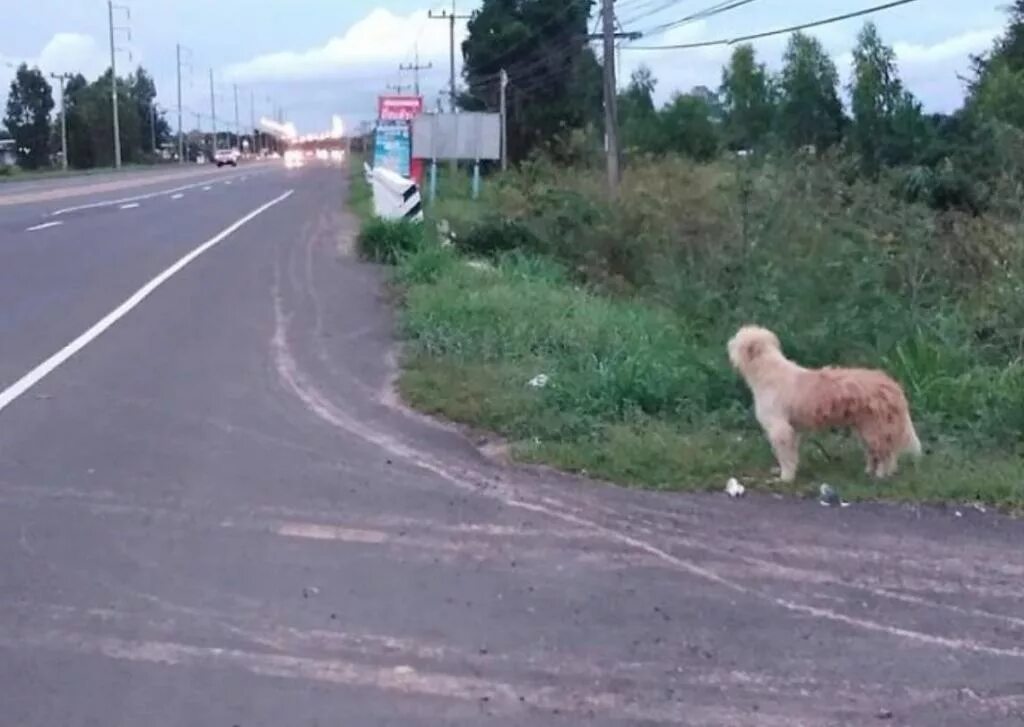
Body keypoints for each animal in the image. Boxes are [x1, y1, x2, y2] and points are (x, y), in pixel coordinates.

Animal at [729, 325, 921, 483]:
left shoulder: (780, 428)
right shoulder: (793, 429)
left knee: (886, 454)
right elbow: (792, 454)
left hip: (875, 428)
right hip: (866, 428)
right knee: (878, 452)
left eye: (736, 340)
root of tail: (892, 385)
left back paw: (881, 475)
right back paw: (870, 472)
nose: (728, 343)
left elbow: (785, 455)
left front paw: (786, 477)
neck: (768, 371)